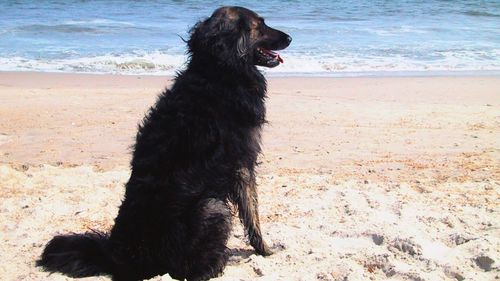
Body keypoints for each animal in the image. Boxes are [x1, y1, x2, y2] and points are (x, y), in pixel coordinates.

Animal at [37, 6, 292, 280]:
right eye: (260, 25)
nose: (290, 38)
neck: (218, 72)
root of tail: (115, 258)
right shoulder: (243, 163)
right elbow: (253, 215)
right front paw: (267, 250)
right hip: (212, 207)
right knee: (189, 269)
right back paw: (218, 263)